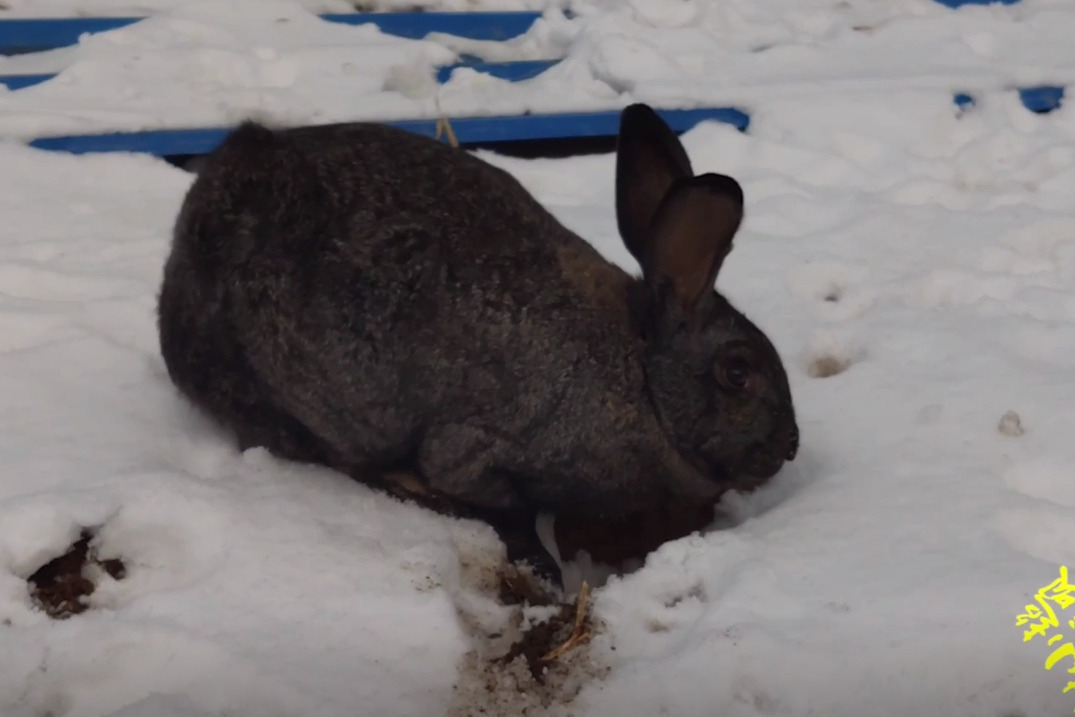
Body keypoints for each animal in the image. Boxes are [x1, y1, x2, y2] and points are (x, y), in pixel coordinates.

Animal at [156, 103, 799, 580]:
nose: (790, 446)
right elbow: (506, 508)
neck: (641, 379)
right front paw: (543, 569)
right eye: (737, 372)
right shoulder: (484, 448)